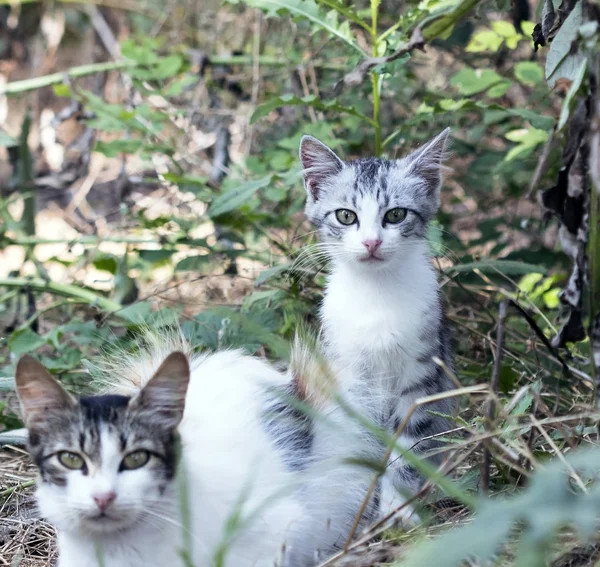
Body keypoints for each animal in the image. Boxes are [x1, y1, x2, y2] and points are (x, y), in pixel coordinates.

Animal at [290, 130, 454, 560]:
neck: (377, 294)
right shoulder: (344, 373)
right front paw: (353, 509)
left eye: (395, 215)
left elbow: (407, 449)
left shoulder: (422, 375)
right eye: (346, 216)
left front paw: (399, 513)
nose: (370, 243)